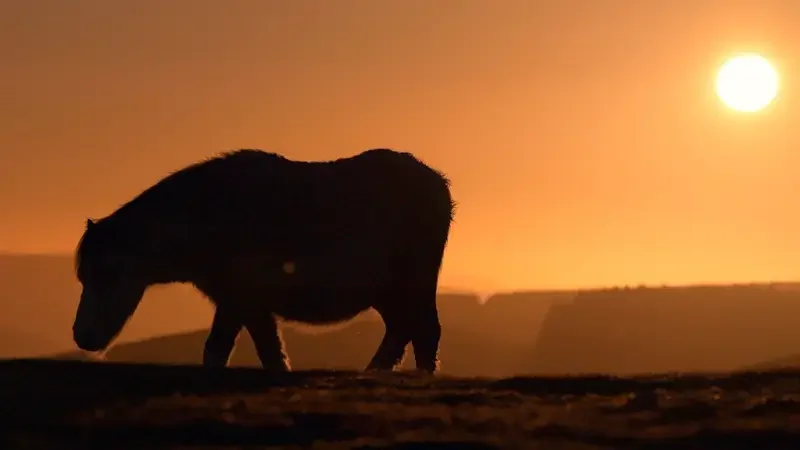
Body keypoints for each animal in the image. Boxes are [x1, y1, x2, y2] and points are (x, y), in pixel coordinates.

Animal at [72, 148, 455, 373]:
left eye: (107, 272)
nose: (81, 336)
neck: (201, 213)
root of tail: (439, 182)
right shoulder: (240, 301)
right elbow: (252, 347)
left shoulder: (240, 297)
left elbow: (228, 346)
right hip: (387, 290)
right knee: (404, 328)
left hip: (413, 281)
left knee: (423, 329)